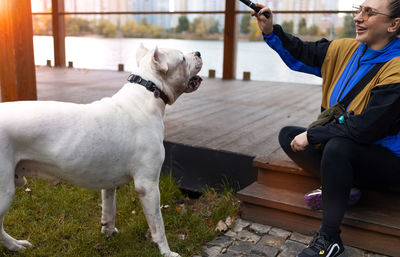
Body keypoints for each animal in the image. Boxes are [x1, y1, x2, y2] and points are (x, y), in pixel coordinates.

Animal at [0, 43, 202, 255]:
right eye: (182, 59)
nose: (198, 53)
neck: (148, 91)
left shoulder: (109, 183)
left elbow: (109, 209)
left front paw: (108, 231)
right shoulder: (148, 186)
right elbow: (158, 226)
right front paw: (167, 252)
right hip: (4, 192)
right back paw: (15, 245)